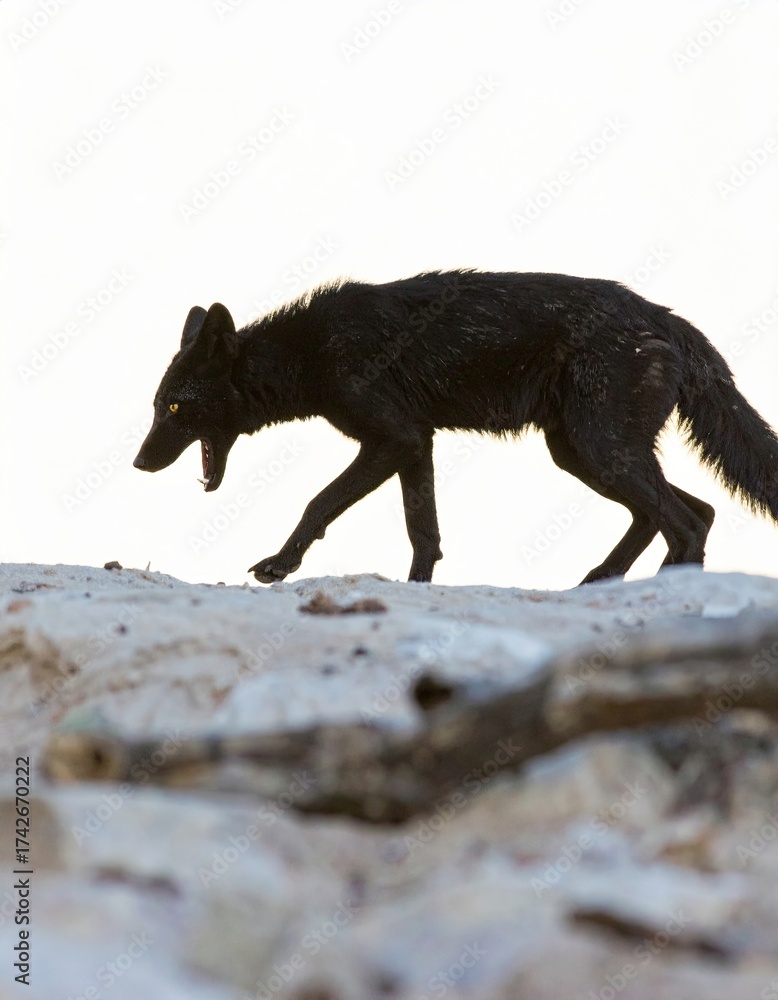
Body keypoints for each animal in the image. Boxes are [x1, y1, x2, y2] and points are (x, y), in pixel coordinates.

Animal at [133, 269, 778, 585]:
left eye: (173, 410)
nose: (139, 463)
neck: (312, 350)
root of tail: (662, 315)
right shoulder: (416, 443)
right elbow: (425, 533)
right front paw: (417, 589)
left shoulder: (393, 439)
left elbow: (319, 503)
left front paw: (279, 565)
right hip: (578, 453)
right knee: (690, 513)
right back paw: (599, 583)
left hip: (600, 450)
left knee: (685, 524)